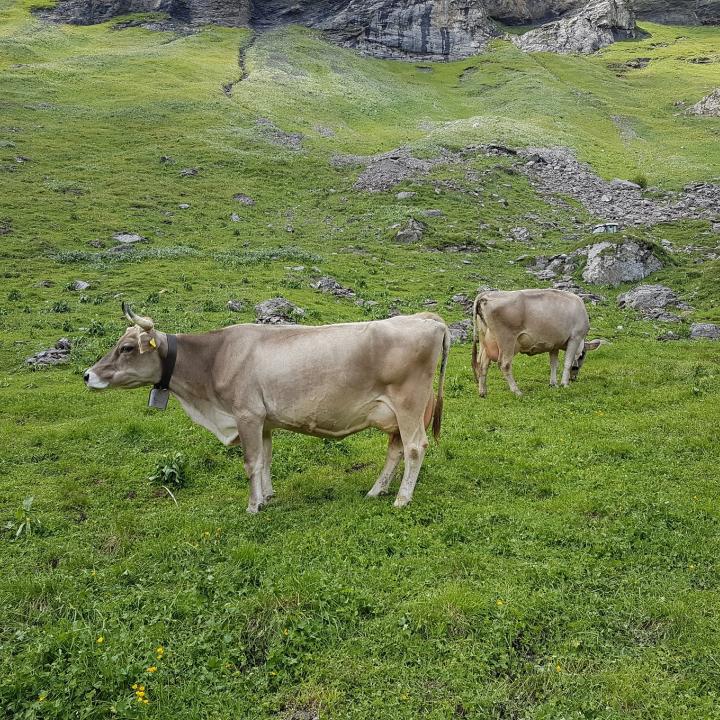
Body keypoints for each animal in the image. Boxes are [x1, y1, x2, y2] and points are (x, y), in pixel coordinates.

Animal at [81, 304, 448, 512]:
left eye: (127, 348)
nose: (87, 375)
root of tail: (426, 319)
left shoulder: (246, 415)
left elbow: (250, 463)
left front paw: (253, 506)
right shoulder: (265, 421)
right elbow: (266, 460)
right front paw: (268, 496)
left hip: (409, 404)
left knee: (415, 447)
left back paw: (402, 499)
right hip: (396, 412)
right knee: (395, 449)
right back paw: (376, 491)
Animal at [472, 288, 600, 400]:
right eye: (583, 356)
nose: (574, 377)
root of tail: (486, 295)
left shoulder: (554, 344)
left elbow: (554, 364)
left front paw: (553, 384)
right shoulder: (575, 338)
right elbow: (567, 363)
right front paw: (564, 384)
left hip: (487, 340)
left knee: (483, 364)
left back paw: (483, 392)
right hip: (507, 340)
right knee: (504, 364)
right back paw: (516, 391)